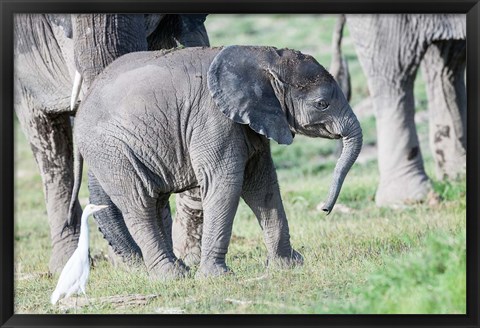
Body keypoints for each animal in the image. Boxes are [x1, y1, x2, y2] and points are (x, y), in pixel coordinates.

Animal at [71, 46, 362, 280]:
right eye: (322, 104)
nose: (324, 209)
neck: (263, 57)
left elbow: (263, 185)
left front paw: (288, 266)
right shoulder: (213, 119)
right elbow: (225, 184)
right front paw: (215, 278)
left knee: (154, 202)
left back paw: (179, 270)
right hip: (111, 150)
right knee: (139, 204)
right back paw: (171, 276)